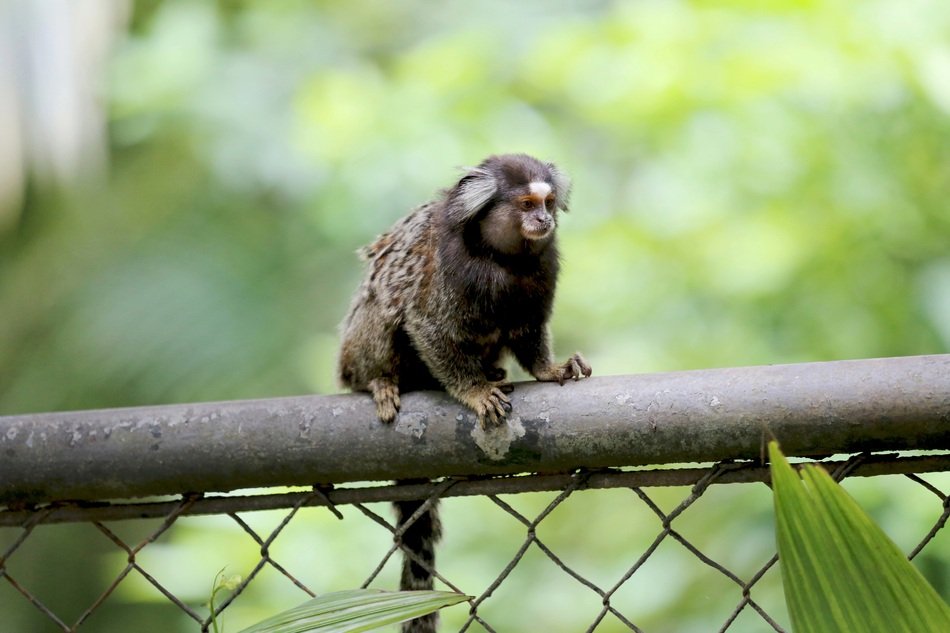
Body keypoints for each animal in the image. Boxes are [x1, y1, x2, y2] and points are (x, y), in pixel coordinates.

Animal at [338, 153, 591, 632]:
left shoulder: (541, 272)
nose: (543, 219)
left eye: (548, 201)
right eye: (526, 203)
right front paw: (473, 392)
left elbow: (530, 331)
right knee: (383, 307)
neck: (503, 261)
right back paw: (380, 380)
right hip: (354, 352)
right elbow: (427, 327)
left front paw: (548, 369)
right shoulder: (447, 279)